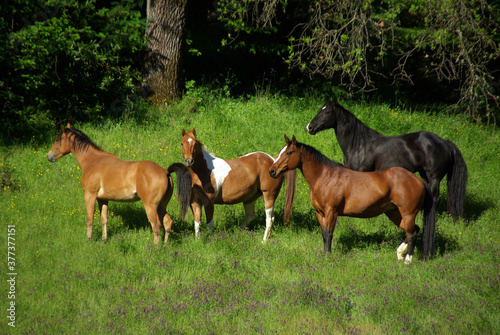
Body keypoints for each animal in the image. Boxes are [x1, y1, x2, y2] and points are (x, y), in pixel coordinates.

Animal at [47, 123, 192, 244]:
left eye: (57, 139)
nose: (49, 156)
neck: (93, 161)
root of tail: (165, 171)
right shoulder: (103, 199)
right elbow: (104, 219)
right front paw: (104, 239)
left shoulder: (90, 195)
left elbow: (90, 218)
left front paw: (89, 239)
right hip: (161, 206)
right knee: (167, 223)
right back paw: (165, 245)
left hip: (151, 206)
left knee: (156, 226)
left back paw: (155, 248)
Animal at [268, 135, 436, 264]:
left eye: (289, 152)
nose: (272, 171)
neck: (325, 177)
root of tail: (418, 180)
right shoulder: (320, 213)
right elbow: (323, 234)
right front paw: (324, 255)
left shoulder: (332, 212)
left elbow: (329, 234)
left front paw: (328, 257)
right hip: (395, 213)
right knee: (413, 231)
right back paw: (400, 254)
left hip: (408, 213)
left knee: (412, 234)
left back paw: (407, 260)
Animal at [306, 97, 466, 222]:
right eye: (319, 110)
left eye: (327, 112)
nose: (309, 127)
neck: (359, 144)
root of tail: (445, 142)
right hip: (424, 175)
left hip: (434, 177)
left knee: (435, 198)